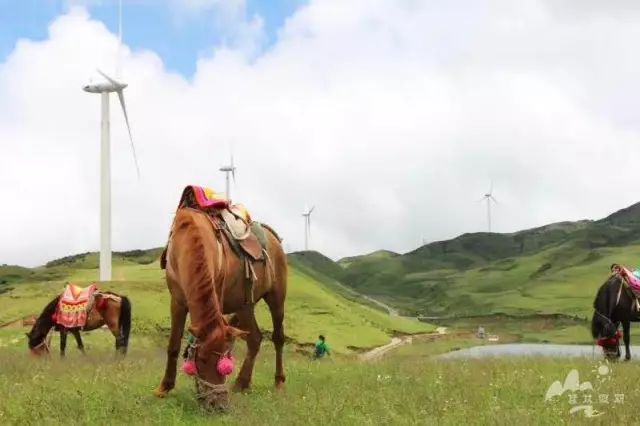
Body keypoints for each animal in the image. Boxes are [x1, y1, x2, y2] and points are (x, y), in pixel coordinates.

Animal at [152, 206, 288, 412]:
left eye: (224, 361)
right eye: (201, 359)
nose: (218, 404)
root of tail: (274, 238)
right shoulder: (177, 301)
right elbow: (173, 345)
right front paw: (164, 388)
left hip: (276, 299)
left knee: (278, 338)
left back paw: (278, 381)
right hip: (245, 305)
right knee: (255, 338)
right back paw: (242, 383)